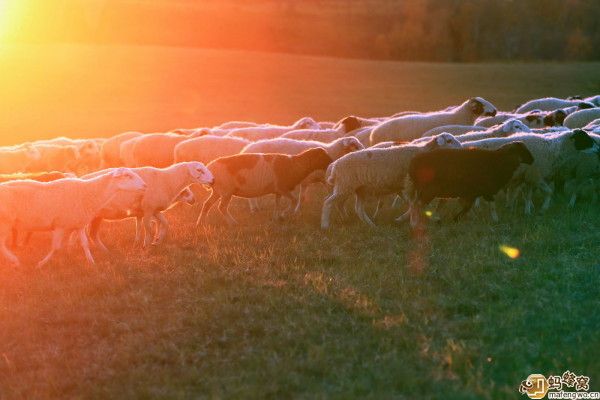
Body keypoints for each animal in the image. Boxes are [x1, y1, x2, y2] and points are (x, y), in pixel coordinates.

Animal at [0, 167, 145, 268]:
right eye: (127, 176)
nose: (145, 185)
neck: (90, 193)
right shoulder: (60, 225)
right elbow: (56, 247)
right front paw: (42, 263)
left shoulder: (79, 224)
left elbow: (85, 244)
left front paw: (91, 263)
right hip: (5, 223)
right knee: (2, 244)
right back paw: (15, 261)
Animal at [82, 161, 213, 248]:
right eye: (199, 170)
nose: (213, 181)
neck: (168, 180)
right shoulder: (148, 209)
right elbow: (148, 227)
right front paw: (147, 245)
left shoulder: (154, 210)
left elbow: (164, 223)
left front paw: (157, 240)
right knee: (91, 234)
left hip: (95, 216)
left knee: (92, 234)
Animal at [198, 148, 332, 227]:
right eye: (323, 157)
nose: (332, 164)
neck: (295, 165)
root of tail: (210, 168)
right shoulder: (283, 188)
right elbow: (293, 200)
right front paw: (284, 215)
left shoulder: (278, 191)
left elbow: (277, 204)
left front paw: (277, 217)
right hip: (226, 191)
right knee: (222, 207)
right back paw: (233, 223)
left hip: (218, 191)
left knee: (206, 205)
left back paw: (200, 223)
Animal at [322, 134, 462, 230]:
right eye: (449, 140)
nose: (461, 148)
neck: (424, 152)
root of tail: (334, 166)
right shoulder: (409, 185)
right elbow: (414, 204)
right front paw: (413, 224)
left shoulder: (403, 187)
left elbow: (414, 204)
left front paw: (404, 219)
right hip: (345, 185)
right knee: (328, 202)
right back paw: (325, 225)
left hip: (359, 189)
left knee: (358, 209)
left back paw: (371, 225)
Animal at [408, 143, 536, 225]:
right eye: (522, 150)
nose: (532, 160)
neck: (498, 162)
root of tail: (415, 161)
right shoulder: (484, 190)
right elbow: (491, 206)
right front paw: (495, 220)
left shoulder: (471, 193)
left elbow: (468, 207)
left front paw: (461, 218)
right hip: (429, 190)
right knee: (416, 205)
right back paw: (414, 223)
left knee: (415, 204)